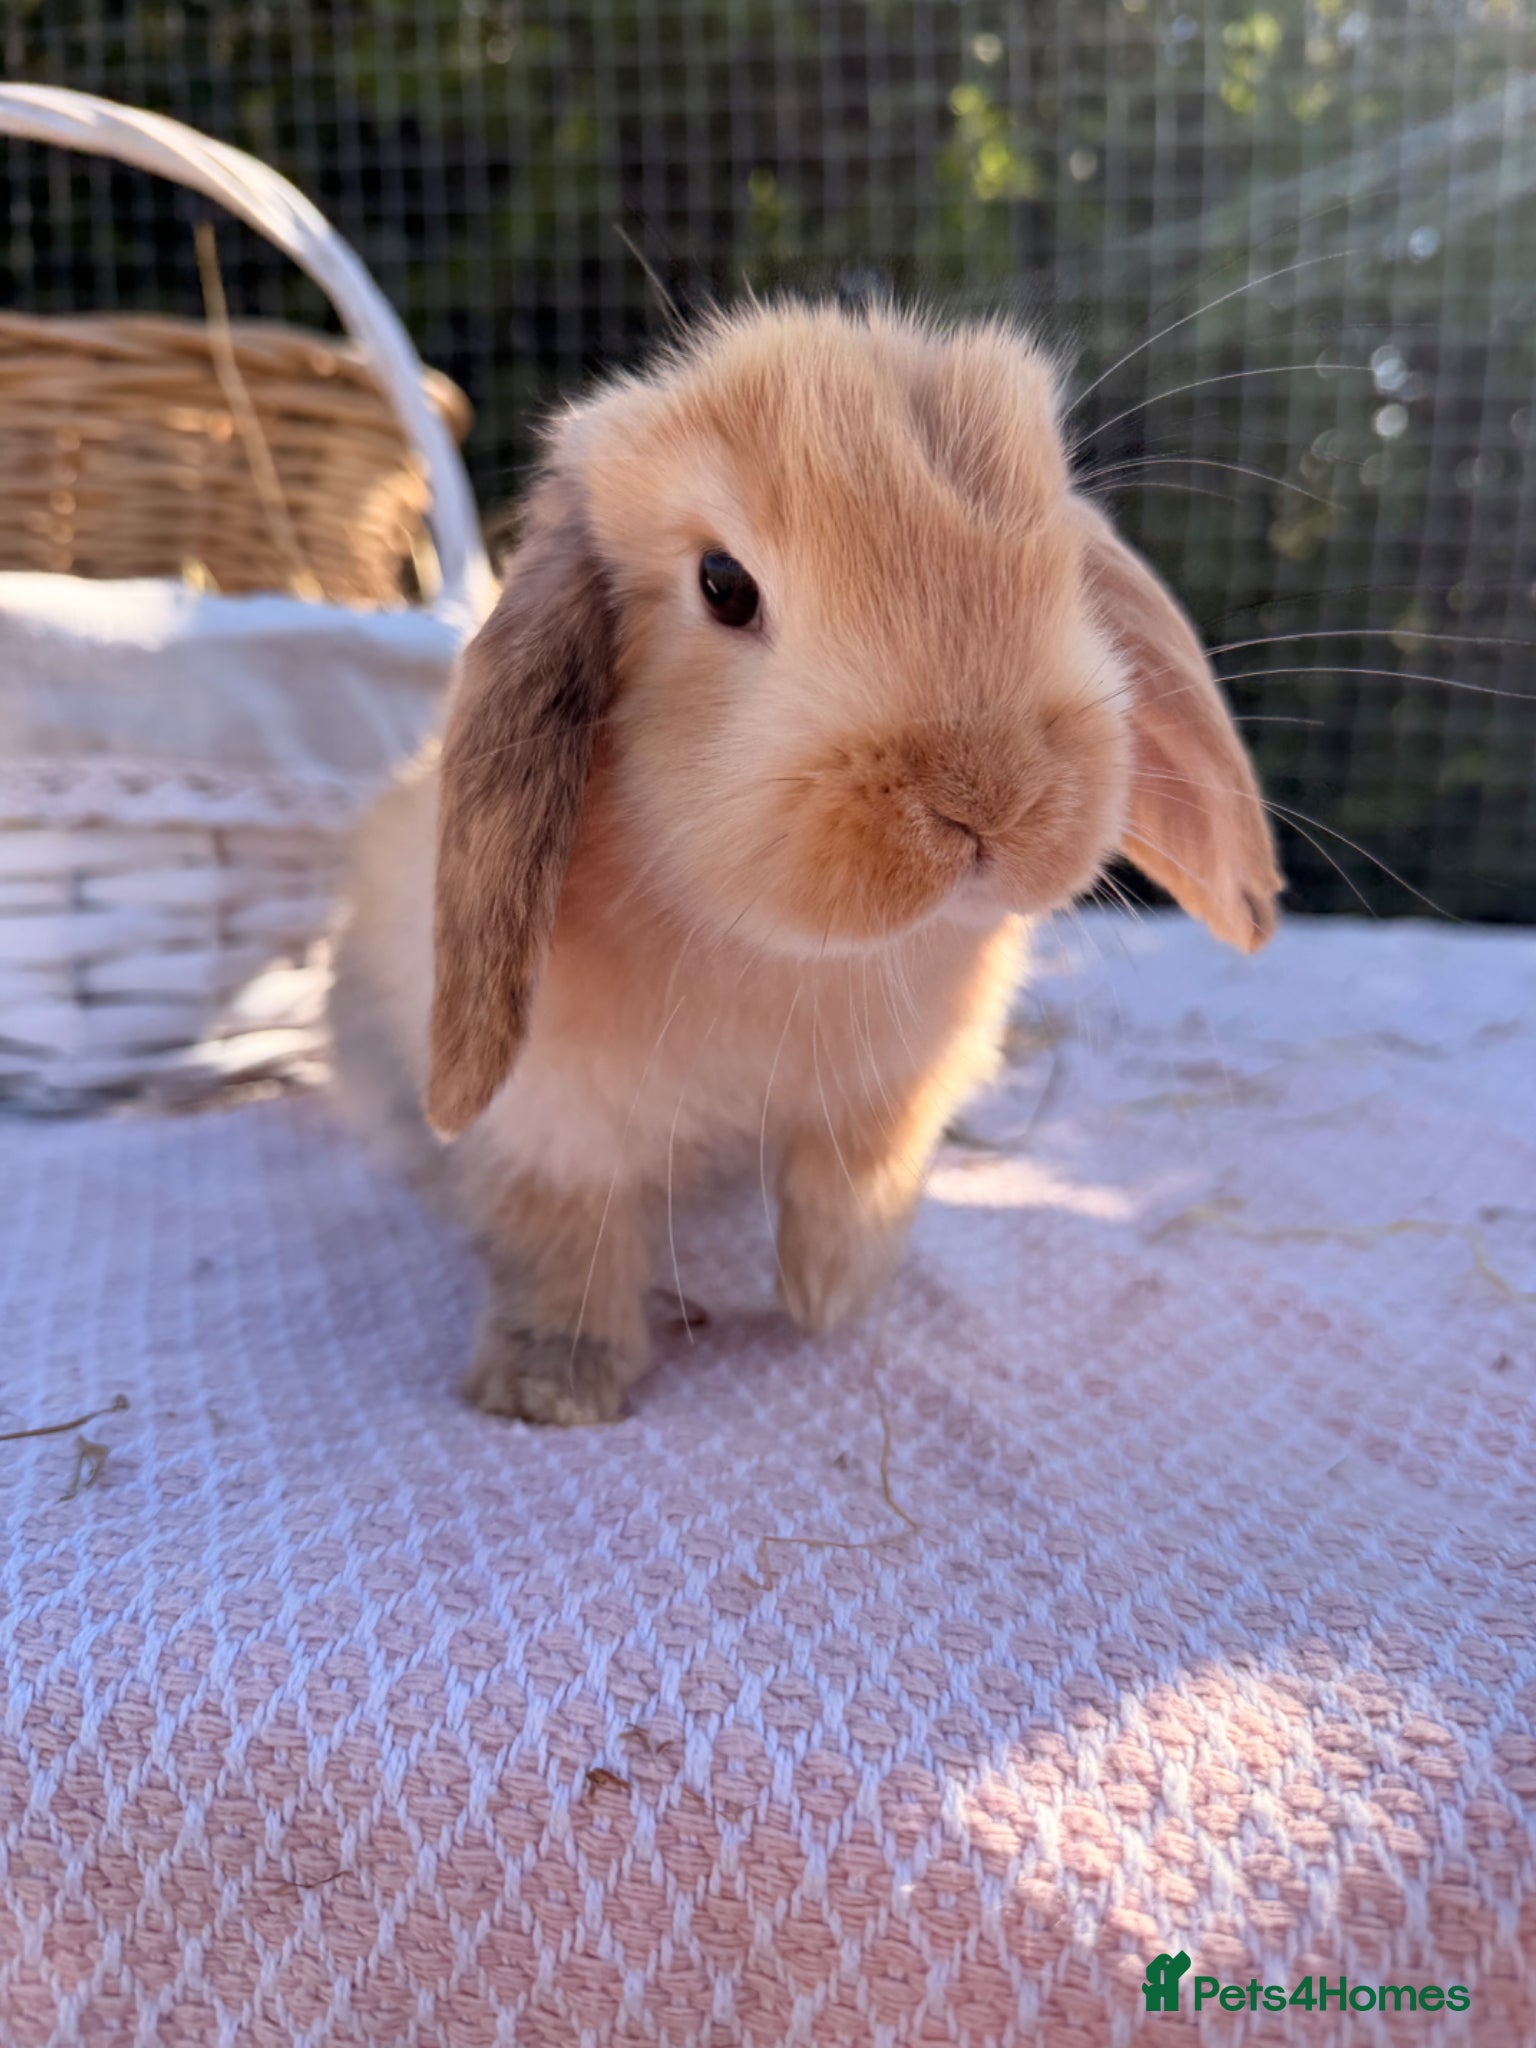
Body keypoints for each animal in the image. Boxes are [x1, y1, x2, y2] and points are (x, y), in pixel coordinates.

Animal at [330, 299, 1282, 1425]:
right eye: (723, 584)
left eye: (1064, 566)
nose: (988, 794)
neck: (786, 956)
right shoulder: (553, 1119)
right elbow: (563, 1239)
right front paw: (549, 1388)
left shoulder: (891, 1099)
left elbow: (856, 1190)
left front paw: (830, 1298)